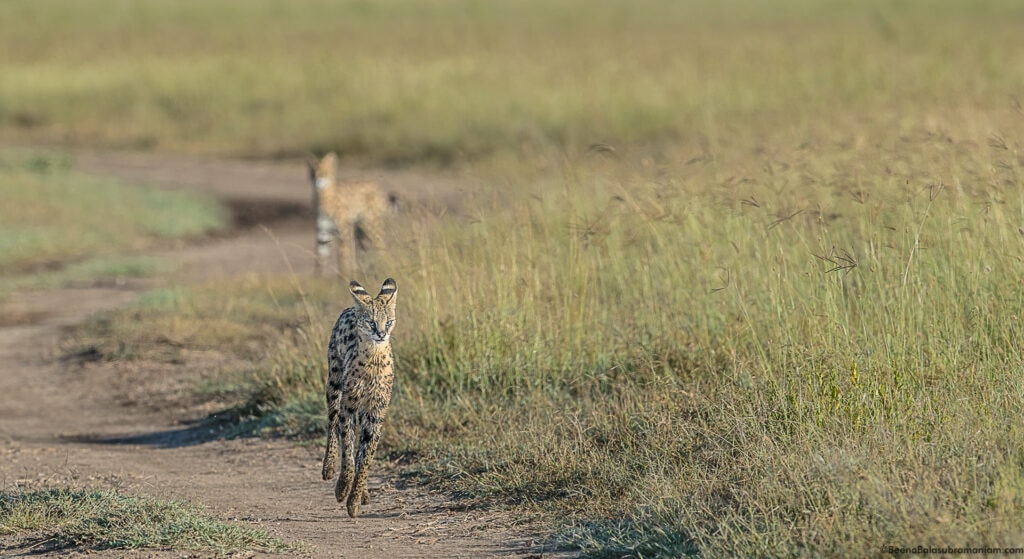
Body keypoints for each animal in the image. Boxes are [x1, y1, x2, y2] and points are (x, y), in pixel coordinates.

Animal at [321, 276, 397, 516]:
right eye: (371, 322)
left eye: (388, 322)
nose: (381, 334)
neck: (375, 358)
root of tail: (350, 307)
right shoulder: (349, 405)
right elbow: (348, 450)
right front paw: (343, 488)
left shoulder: (376, 411)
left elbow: (366, 457)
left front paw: (355, 498)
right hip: (334, 383)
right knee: (332, 423)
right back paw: (329, 467)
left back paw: (362, 493)